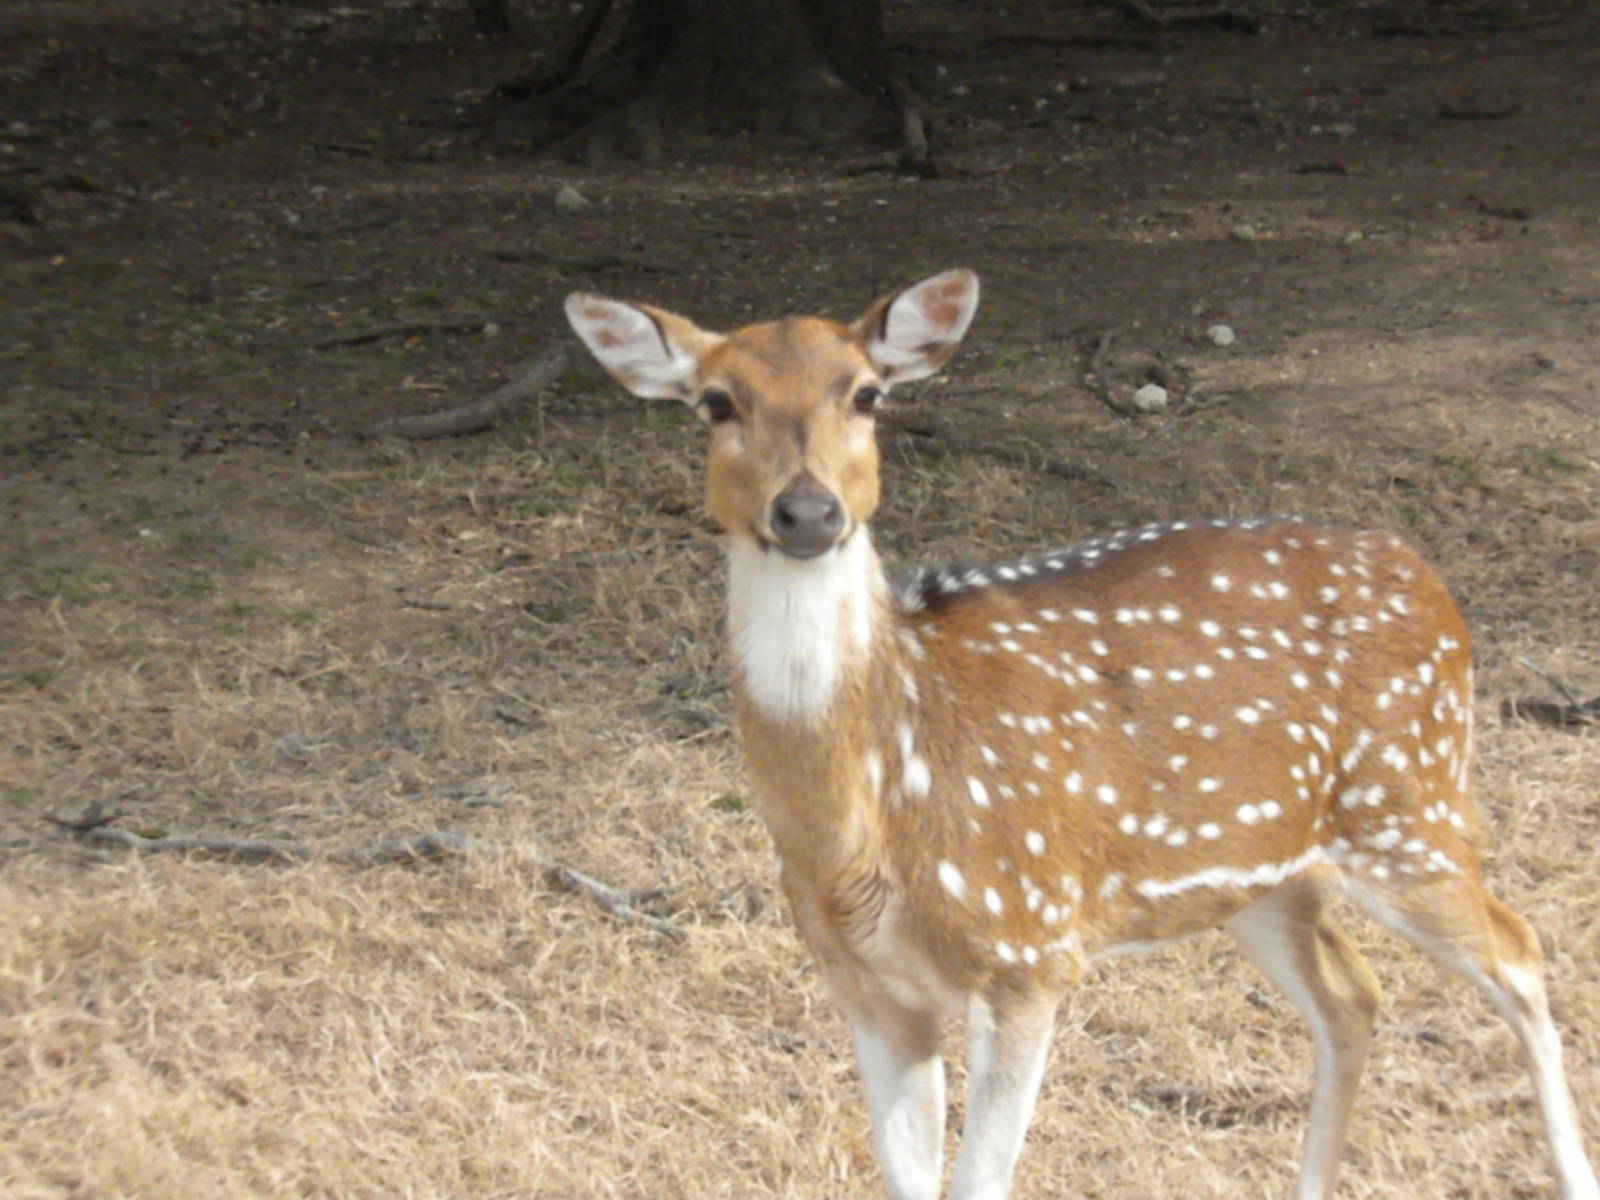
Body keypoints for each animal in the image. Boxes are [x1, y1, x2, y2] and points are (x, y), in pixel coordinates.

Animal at [564, 269, 1598, 1200]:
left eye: (866, 393)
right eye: (715, 402)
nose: (809, 509)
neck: (873, 812)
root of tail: (1428, 577)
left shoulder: (1030, 953)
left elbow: (981, 1183)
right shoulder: (864, 987)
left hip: (1410, 809)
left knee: (1520, 953)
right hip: (1265, 872)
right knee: (1353, 996)